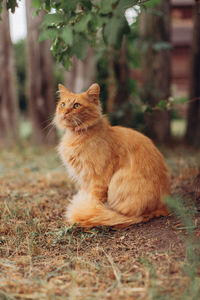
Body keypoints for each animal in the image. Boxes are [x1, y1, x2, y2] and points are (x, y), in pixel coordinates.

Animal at [54, 82, 170, 227]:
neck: (76, 136)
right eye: (63, 104)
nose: (65, 112)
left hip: (119, 180)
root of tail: (163, 207)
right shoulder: (85, 179)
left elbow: (94, 201)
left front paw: (89, 209)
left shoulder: (98, 177)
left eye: (76, 105)